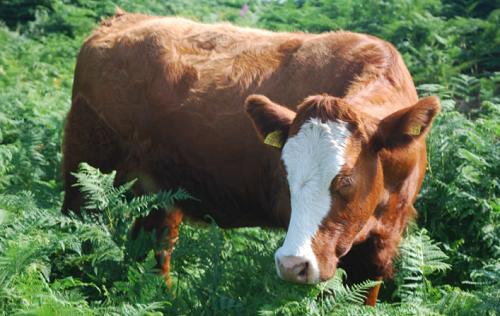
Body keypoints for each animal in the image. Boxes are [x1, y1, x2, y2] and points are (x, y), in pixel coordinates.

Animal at [61, 10, 438, 306]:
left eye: (346, 179)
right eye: (285, 176)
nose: (293, 263)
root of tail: (121, 19)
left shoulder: (382, 244)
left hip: (159, 193)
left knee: (155, 247)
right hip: (84, 170)